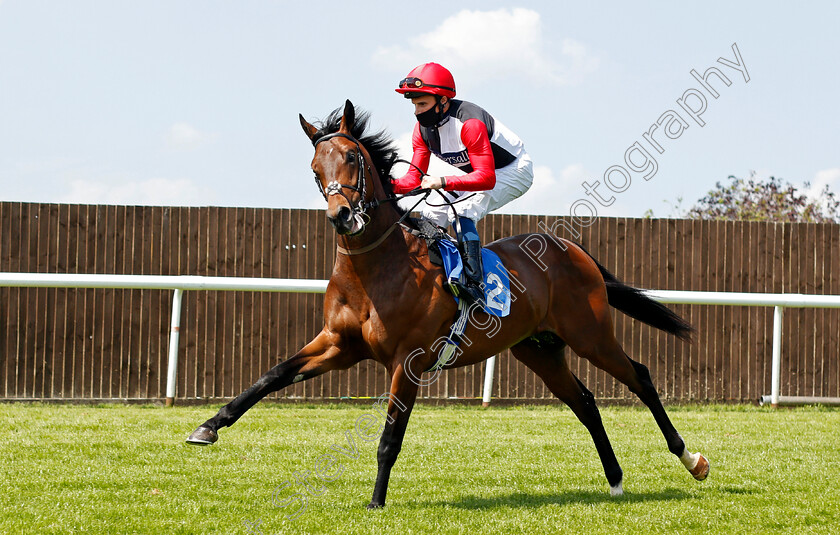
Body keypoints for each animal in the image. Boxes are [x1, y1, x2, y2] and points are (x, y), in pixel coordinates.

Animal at [185, 99, 708, 506]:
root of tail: (571, 249)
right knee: (585, 402)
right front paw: (208, 426)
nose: (342, 216)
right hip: (539, 348)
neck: (376, 271)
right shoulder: (338, 344)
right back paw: (615, 480)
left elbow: (389, 437)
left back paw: (692, 459)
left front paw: (376, 502)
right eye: (316, 168)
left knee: (640, 378)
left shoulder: (408, 359)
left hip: (590, 334)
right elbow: (272, 375)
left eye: (353, 157)